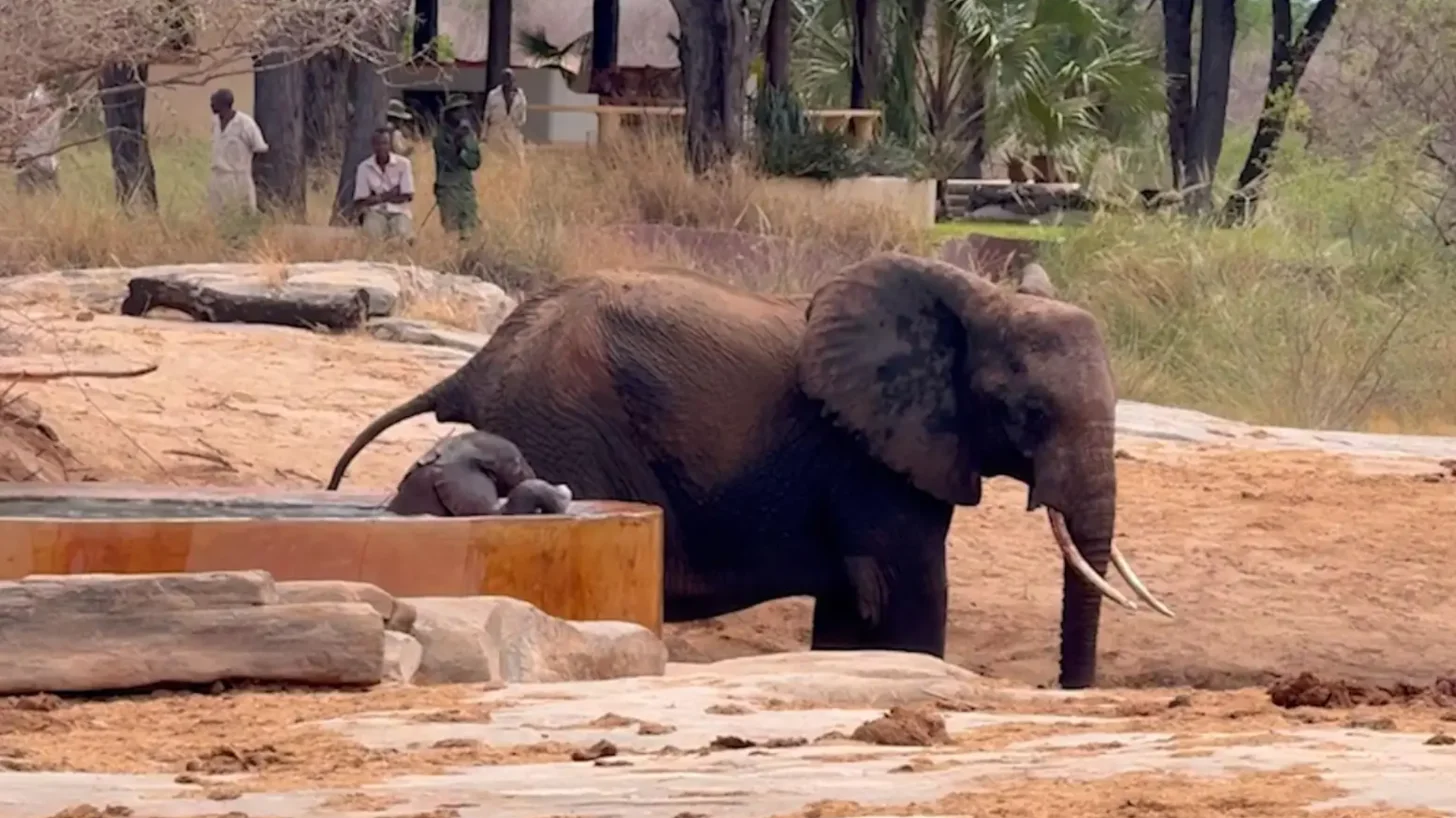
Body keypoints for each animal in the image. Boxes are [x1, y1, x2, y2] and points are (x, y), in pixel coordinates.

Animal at [328, 252, 1174, 689]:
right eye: (1027, 412)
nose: (1068, 691)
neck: (977, 299)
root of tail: (473, 365)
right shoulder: (869, 452)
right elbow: (906, 590)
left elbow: (856, 606)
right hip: (558, 419)